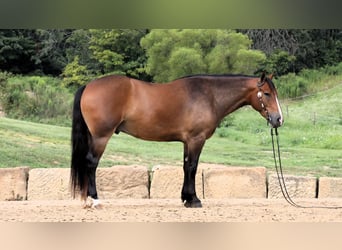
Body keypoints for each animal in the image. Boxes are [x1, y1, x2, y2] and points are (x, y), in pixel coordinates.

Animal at [70, 73, 284, 209]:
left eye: (275, 93)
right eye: (266, 94)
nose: (278, 119)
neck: (210, 95)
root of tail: (89, 85)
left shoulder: (187, 141)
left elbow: (185, 166)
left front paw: (186, 198)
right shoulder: (196, 139)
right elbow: (193, 167)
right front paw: (194, 200)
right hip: (101, 137)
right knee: (91, 163)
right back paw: (94, 200)